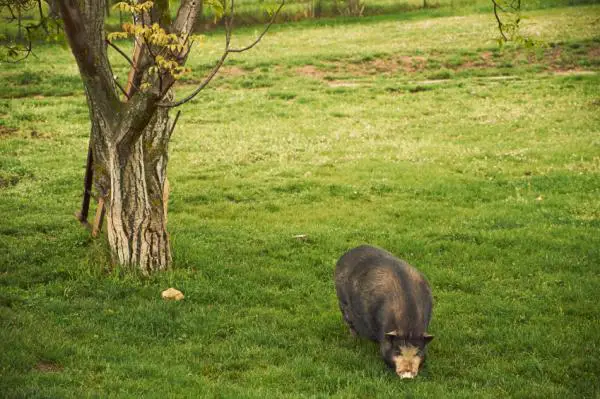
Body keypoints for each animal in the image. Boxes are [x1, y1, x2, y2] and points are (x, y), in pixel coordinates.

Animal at [336, 245, 434, 380]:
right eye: (397, 351)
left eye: (418, 352)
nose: (407, 374)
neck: (409, 327)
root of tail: (346, 254)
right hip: (342, 301)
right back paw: (354, 340)